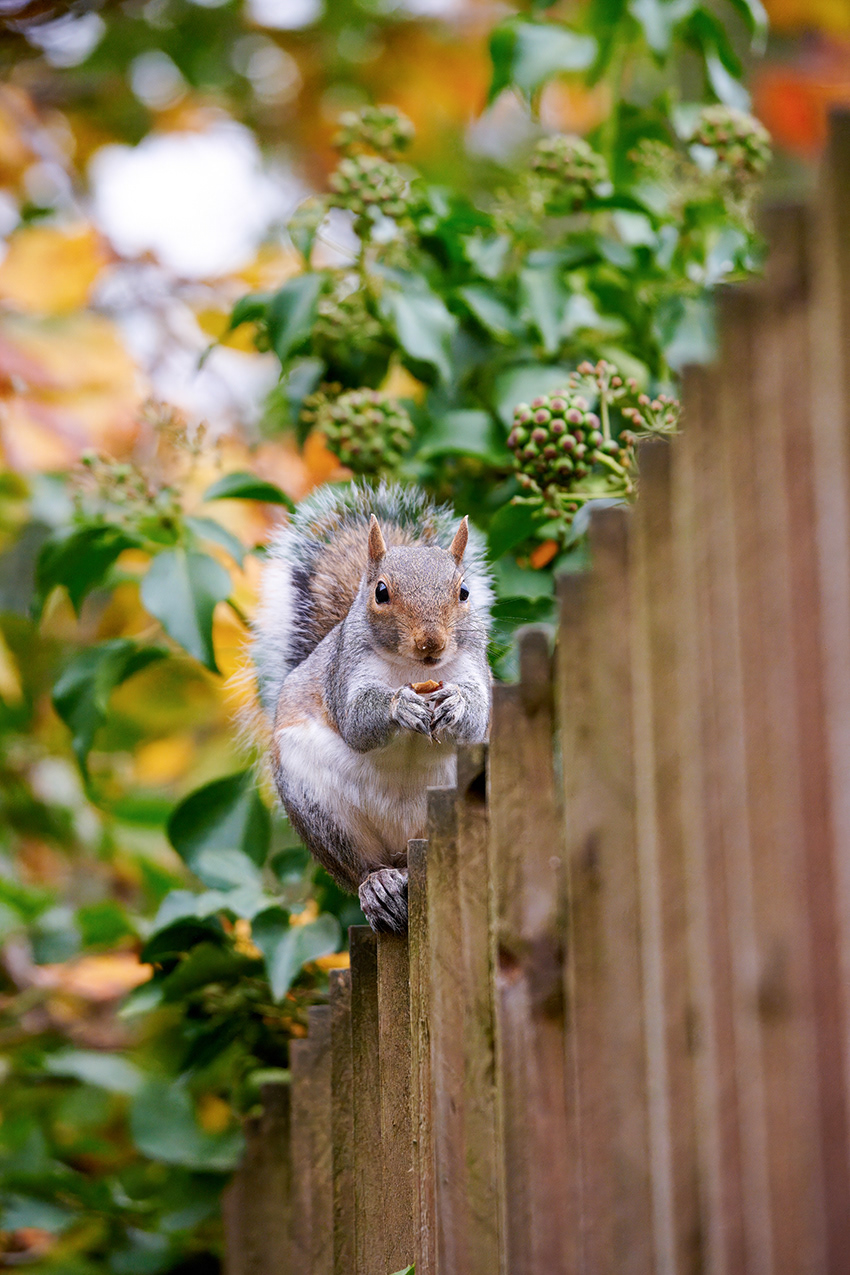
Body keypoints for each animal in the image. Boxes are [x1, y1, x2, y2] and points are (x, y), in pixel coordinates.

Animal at [252, 482, 493, 934]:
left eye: (464, 592)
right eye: (381, 592)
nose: (431, 643)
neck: (414, 670)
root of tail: (405, 848)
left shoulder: (476, 669)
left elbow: (476, 719)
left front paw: (455, 702)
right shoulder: (345, 672)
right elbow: (357, 722)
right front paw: (401, 706)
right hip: (319, 809)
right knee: (361, 866)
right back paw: (377, 886)